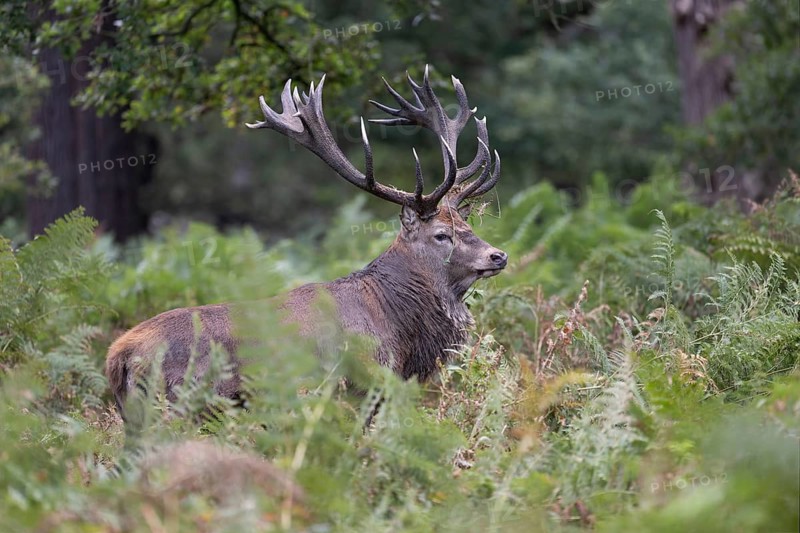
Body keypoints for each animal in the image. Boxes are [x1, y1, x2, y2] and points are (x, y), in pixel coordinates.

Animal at [105, 66, 507, 419]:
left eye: (466, 224)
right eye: (441, 234)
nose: (498, 255)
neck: (398, 327)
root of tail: (116, 356)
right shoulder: (362, 383)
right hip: (176, 404)